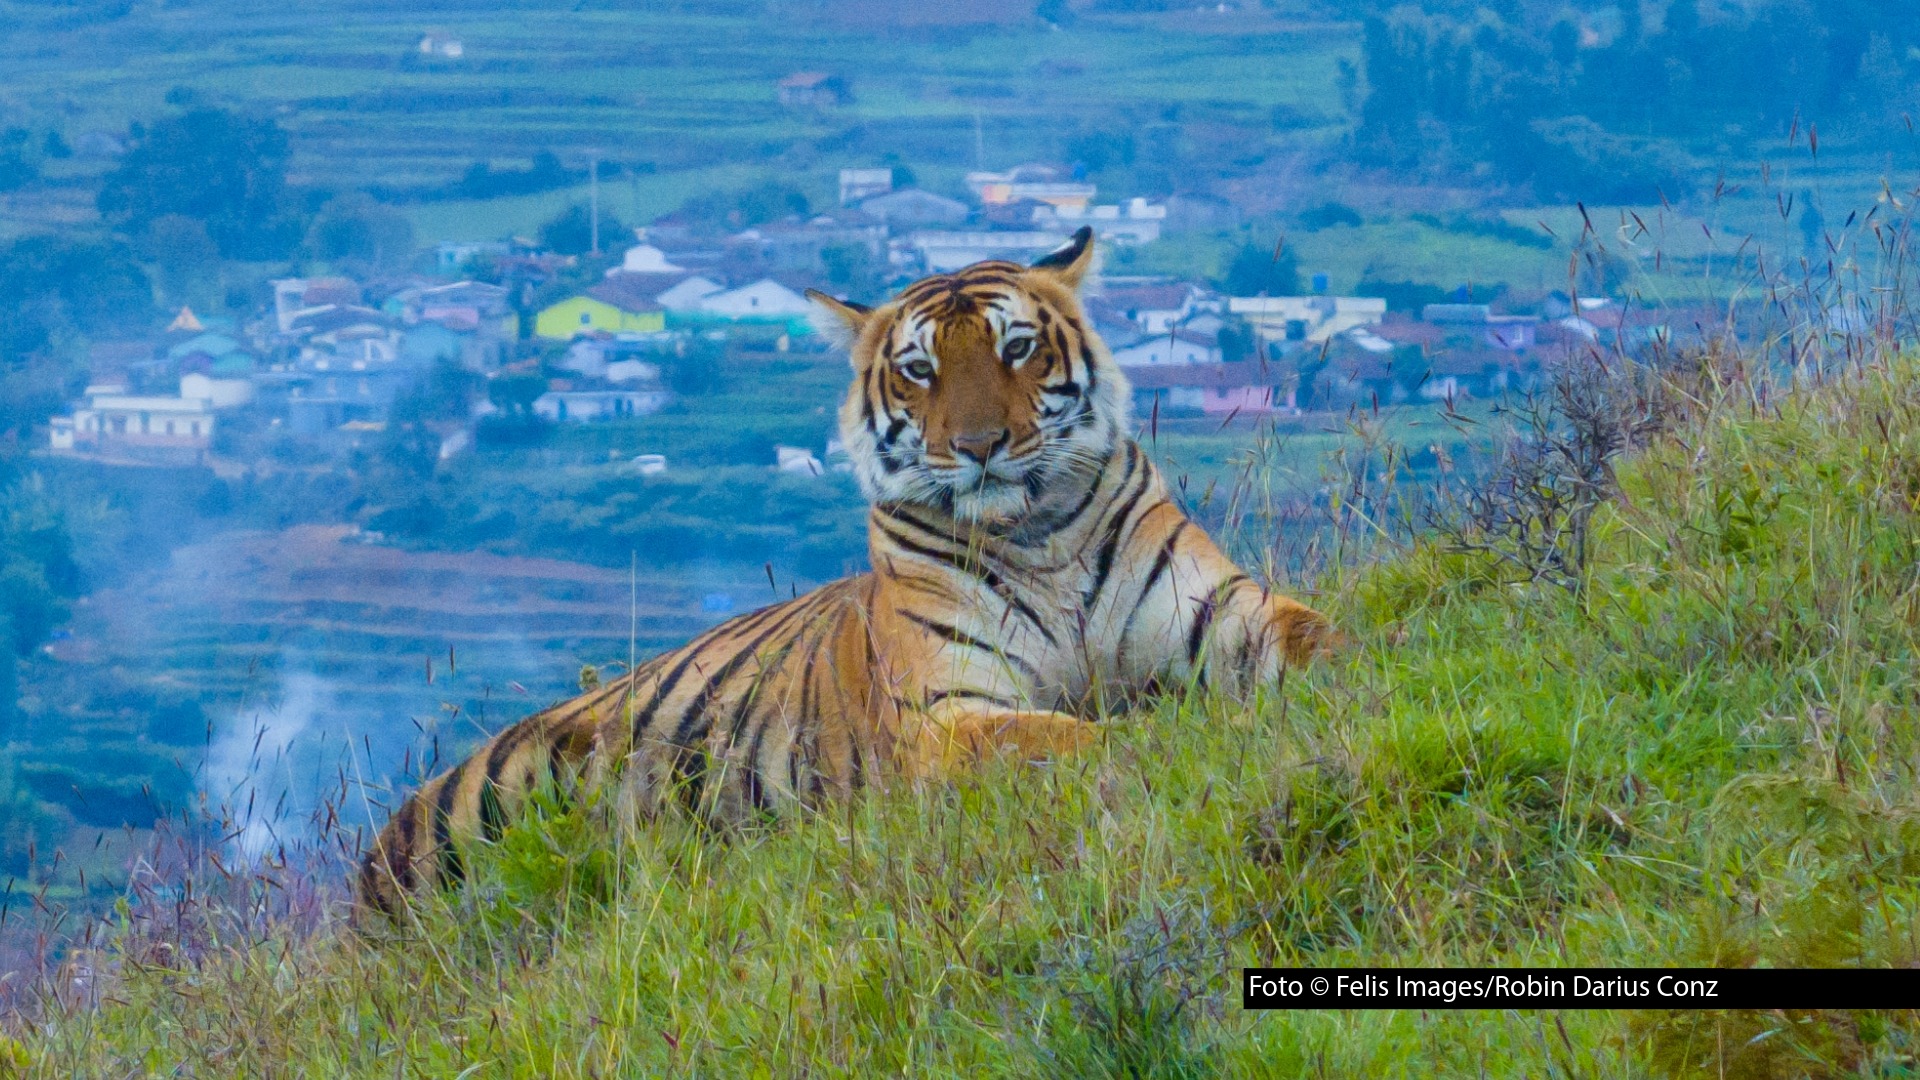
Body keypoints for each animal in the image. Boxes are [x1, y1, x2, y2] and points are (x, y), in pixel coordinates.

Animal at [354, 226, 1333, 922]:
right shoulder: (946, 712)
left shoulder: (1220, 609)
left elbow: (1316, 638)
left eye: (1016, 348)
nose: (979, 446)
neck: (1035, 536)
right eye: (920, 370)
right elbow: (1067, 738)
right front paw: (1165, 745)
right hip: (481, 804)